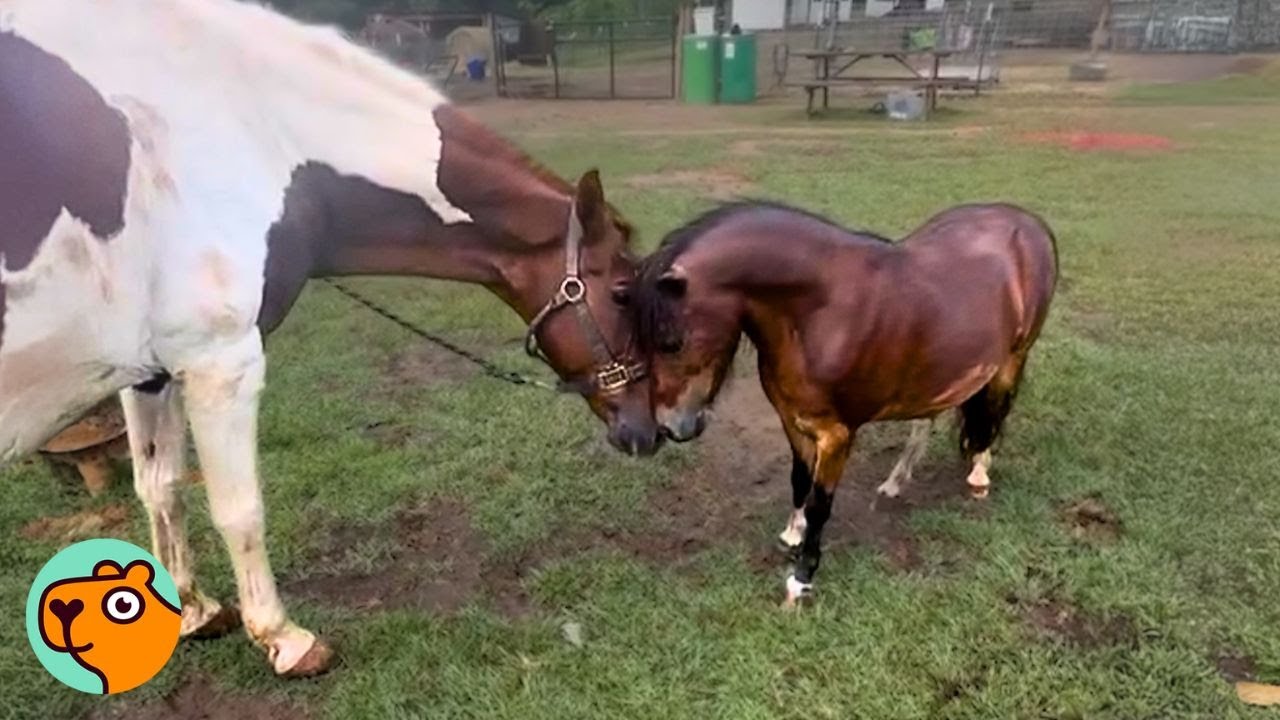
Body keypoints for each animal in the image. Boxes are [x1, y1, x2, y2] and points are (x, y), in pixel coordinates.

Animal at [1, 0, 658, 677]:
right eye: (621, 291)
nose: (649, 427)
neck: (243, 125)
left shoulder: (149, 373)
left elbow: (159, 487)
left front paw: (194, 612)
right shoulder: (220, 363)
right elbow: (239, 509)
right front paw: (285, 639)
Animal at [629, 201, 1057, 606]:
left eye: (671, 342)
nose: (671, 427)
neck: (820, 312)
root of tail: (1025, 221)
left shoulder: (836, 435)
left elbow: (821, 503)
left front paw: (801, 580)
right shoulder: (792, 419)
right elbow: (799, 480)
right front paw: (792, 534)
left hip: (1013, 357)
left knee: (996, 410)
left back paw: (979, 474)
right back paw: (897, 481)